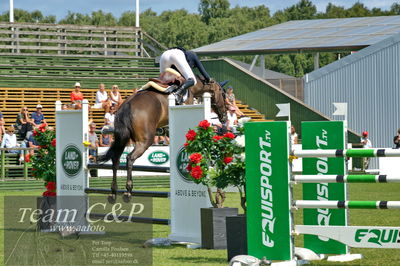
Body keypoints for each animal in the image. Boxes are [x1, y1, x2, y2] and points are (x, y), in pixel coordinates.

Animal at [98, 76, 227, 203]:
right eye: (223, 94)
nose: (224, 117)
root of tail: (126, 105)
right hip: (144, 141)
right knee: (130, 158)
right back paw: (128, 191)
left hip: (122, 139)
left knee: (115, 159)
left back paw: (113, 192)